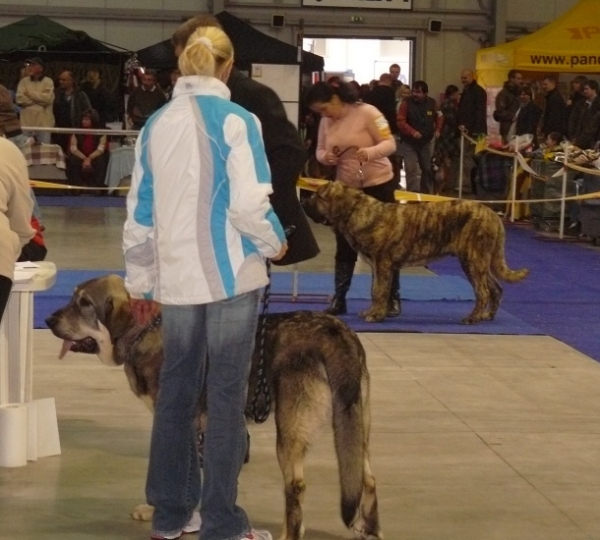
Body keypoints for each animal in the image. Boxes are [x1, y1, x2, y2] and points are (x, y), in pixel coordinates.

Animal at [304, 181, 528, 324]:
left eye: (319, 196)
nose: (305, 202)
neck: (355, 211)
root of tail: (493, 214)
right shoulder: (378, 266)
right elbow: (376, 290)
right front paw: (373, 311)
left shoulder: (382, 264)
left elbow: (379, 291)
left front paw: (375, 315)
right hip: (480, 261)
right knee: (496, 288)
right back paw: (488, 316)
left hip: (472, 259)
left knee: (483, 291)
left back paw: (473, 318)